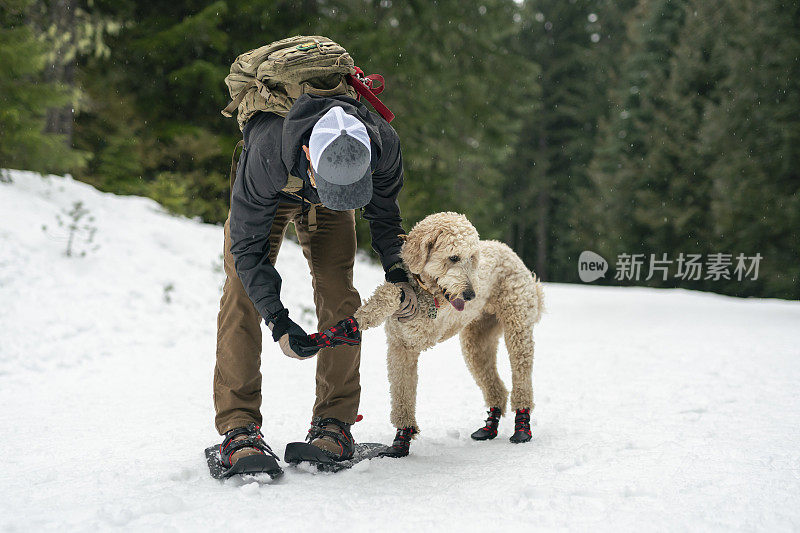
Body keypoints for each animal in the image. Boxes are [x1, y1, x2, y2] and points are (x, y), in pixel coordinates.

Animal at [354, 212, 548, 448]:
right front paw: (403, 437)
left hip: (517, 329)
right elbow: (402, 394)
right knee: (494, 385)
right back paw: (489, 426)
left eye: (472, 257)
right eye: (454, 257)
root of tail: (507, 249)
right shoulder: (400, 348)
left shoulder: (423, 331)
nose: (471, 295)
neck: (426, 290)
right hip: (476, 343)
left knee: (522, 377)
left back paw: (522, 426)